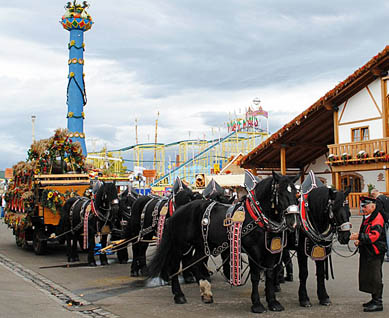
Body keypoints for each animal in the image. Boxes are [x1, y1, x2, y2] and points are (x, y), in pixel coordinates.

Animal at [149, 171, 300, 314]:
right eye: (280, 192)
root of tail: (179, 211)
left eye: (297, 194)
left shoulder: (271, 251)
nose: (294, 222)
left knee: (195, 263)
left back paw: (206, 293)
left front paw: (273, 302)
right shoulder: (253, 251)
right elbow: (256, 276)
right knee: (175, 266)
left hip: (201, 246)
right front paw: (257, 304)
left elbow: (270, 275)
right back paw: (179, 295)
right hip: (181, 246)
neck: (257, 218)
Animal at [282, 175, 352, 306]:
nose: (346, 236)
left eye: (348, 210)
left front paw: (323, 296)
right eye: (335, 209)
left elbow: (320, 273)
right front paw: (304, 298)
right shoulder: (302, 251)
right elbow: (304, 273)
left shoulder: (322, 248)